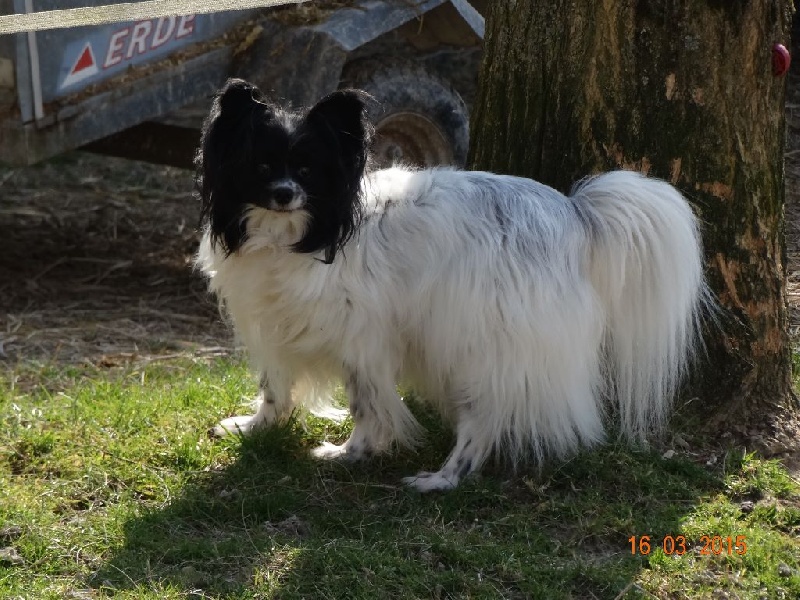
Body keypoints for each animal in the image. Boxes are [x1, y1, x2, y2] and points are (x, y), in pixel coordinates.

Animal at [195, 78, 712, 492]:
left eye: (307, 171)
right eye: (261, 168)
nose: (285, 194)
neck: (301, 235)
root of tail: (572, 215)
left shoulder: (363, 340)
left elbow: (367, 404)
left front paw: (351, 453)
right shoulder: (275, 322)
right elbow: (275, 386)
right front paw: (254, 427)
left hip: (477, 346)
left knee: (481, 421)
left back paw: (443, 479)